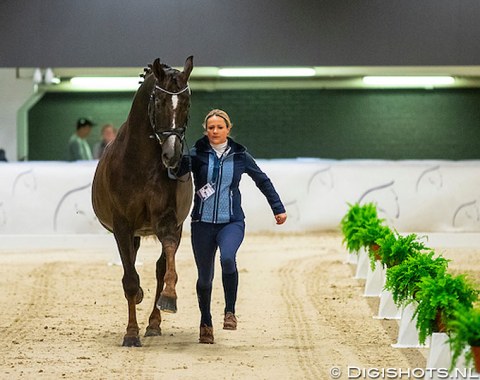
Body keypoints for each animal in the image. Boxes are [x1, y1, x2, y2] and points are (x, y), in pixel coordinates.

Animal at [92, 57, 193, 348]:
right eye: (158, 101)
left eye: (187, 103)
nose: (172, 155)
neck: (143, 162)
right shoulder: (122, 226)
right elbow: (129, 278)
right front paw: (130, 333)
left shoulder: (169, 221)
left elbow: (166, 264)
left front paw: (169, 297)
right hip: (131, 233)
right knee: (132, 265)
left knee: (159, 266)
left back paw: (154, 323)